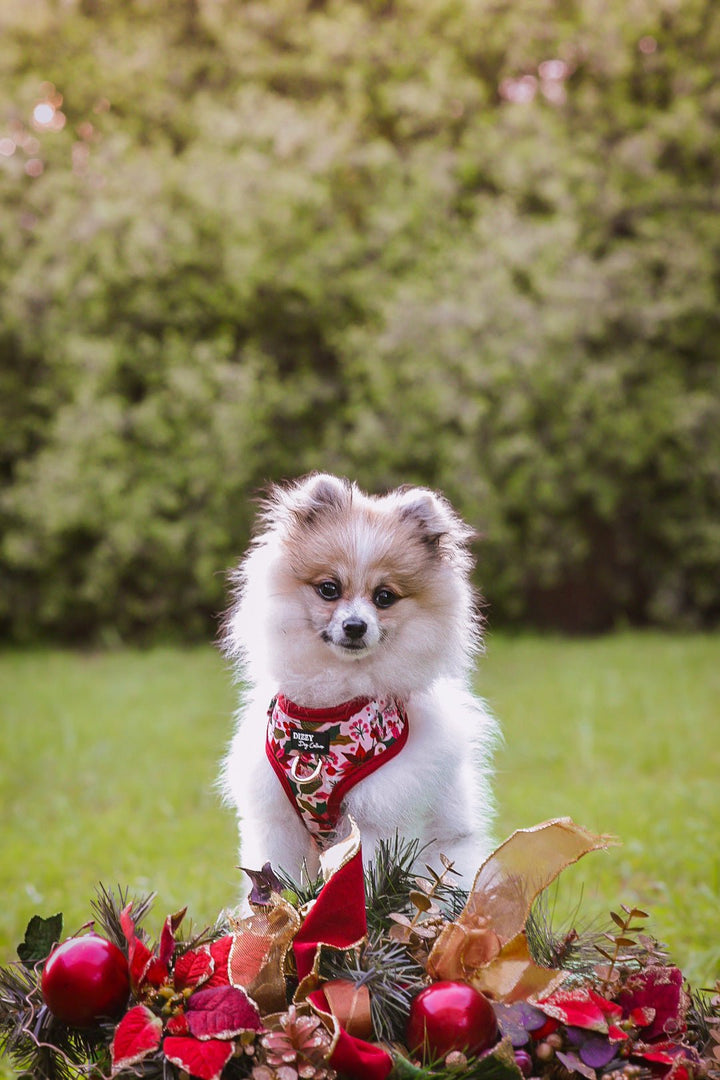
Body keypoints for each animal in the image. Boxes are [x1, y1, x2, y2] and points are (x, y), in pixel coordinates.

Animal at [222, 477, 498, 889]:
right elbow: (276, 880)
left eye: (385, 597)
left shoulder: (377, 819)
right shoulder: (277, 820)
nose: (355, 625)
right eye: (329, 589)